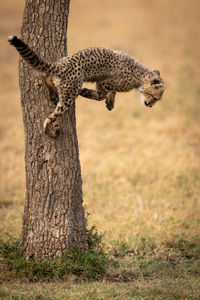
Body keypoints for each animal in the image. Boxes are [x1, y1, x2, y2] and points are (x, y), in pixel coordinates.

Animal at [7, 36, 165, 138]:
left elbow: (110, 93)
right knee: (51, 116)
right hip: (69, 94)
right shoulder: (104, 82)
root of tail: (63, 65)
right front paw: (88, 92)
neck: (141, 76)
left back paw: (51, 91)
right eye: (154, 97)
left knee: (45, 74)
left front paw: (110, 103)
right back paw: (48, 129)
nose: (150, 105)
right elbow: (101, 95)